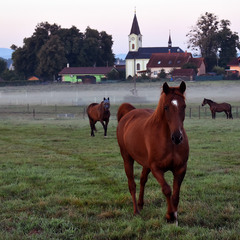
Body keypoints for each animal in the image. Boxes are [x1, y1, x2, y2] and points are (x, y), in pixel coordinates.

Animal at [116, 81, 189, 224]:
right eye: (166, 107)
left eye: (184, 106)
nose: (177, 137)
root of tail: (129, 114)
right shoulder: (156, 168)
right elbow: (167, 189)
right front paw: (170, 215)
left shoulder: (180, 169)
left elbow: (176, 195)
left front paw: (175, 217)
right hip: (127, 158)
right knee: (132, 184)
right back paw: (136, 211)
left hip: (146, 164)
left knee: (142, 180)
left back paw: (140, 204)